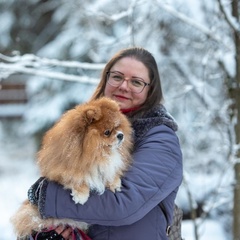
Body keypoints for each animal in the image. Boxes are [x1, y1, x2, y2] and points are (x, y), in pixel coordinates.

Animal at [10, 97, 133, 238]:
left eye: (118, 127)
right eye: (107, 132)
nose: (120, 135)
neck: (97, 154)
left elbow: (109, 172)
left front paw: (115, 183)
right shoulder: (62, 170)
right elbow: (76, 178)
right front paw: (81, 194)